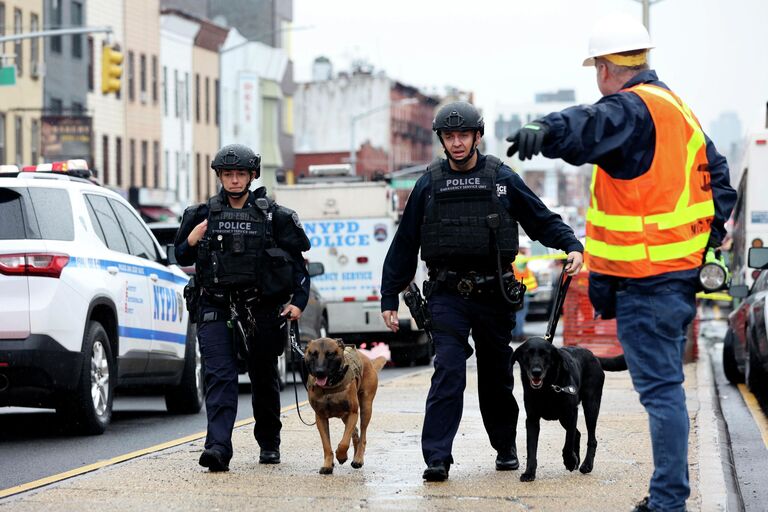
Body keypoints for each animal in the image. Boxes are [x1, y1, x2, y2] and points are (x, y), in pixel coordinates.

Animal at [304, 338, 388, 474]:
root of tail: (367, 359)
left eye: (330, 354)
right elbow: (326, 445)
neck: (330, 386)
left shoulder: (353, 413)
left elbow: (344, 442)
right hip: (345, 417)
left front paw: (341, 456)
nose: (319, 372)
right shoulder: (320, 418)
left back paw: (358, 459)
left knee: (362, 435)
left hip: (365, 409)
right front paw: (328, 465)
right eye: (313, 354)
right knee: (356, 433)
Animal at [510, 338, 624, 482]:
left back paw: (586, 464)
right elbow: (531, 448)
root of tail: (594, 356)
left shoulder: (571, 413)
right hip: (563, 418)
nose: (536, 372)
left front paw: (569, 461)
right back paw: (578, 460)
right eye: (527, 353)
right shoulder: (532, 419)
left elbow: (568, 441)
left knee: (591, 438)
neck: (546, 389)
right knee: (578, 433)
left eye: (545, 354)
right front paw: (529, 472)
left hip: (591, 406)